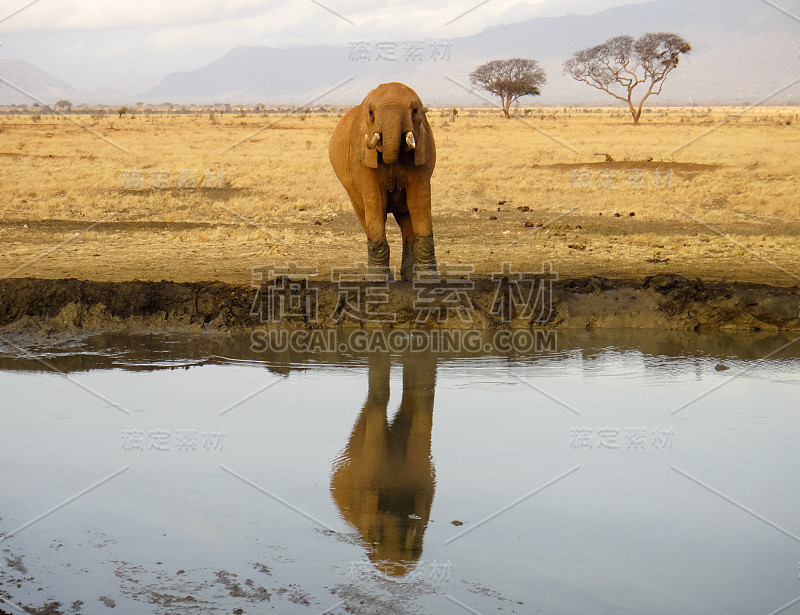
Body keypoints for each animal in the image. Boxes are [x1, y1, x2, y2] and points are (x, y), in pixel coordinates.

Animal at [330, 82, 438, 282]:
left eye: (415, 110)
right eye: (370, 112)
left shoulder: (423, 150)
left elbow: (419, 202)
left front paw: (427, 279)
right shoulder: (362, 158)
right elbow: (376, 202)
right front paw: (379, 280)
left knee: (406, 219)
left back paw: (408, 278)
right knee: (365, 214)